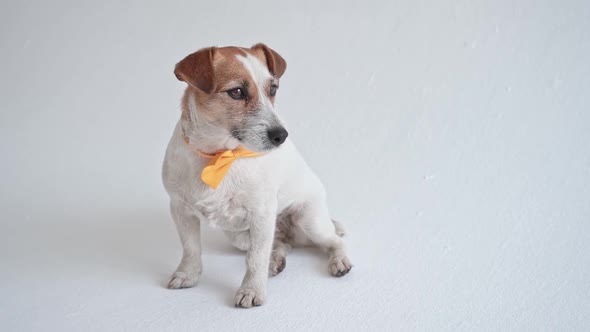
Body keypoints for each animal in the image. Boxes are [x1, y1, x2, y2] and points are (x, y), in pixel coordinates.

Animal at [163, 42, 352, 308]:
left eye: (272, 89)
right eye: (237, 92)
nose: (281, 135)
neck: (219, 155)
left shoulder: (261, 214)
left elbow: (255, 259)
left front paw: (251, 290)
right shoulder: (180, 210)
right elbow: (190, 248)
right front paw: (187, 274)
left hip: (309, 220)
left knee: (334, 240)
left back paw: (339, 260)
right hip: (237, 235)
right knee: (280, 244)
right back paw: (277, 259)